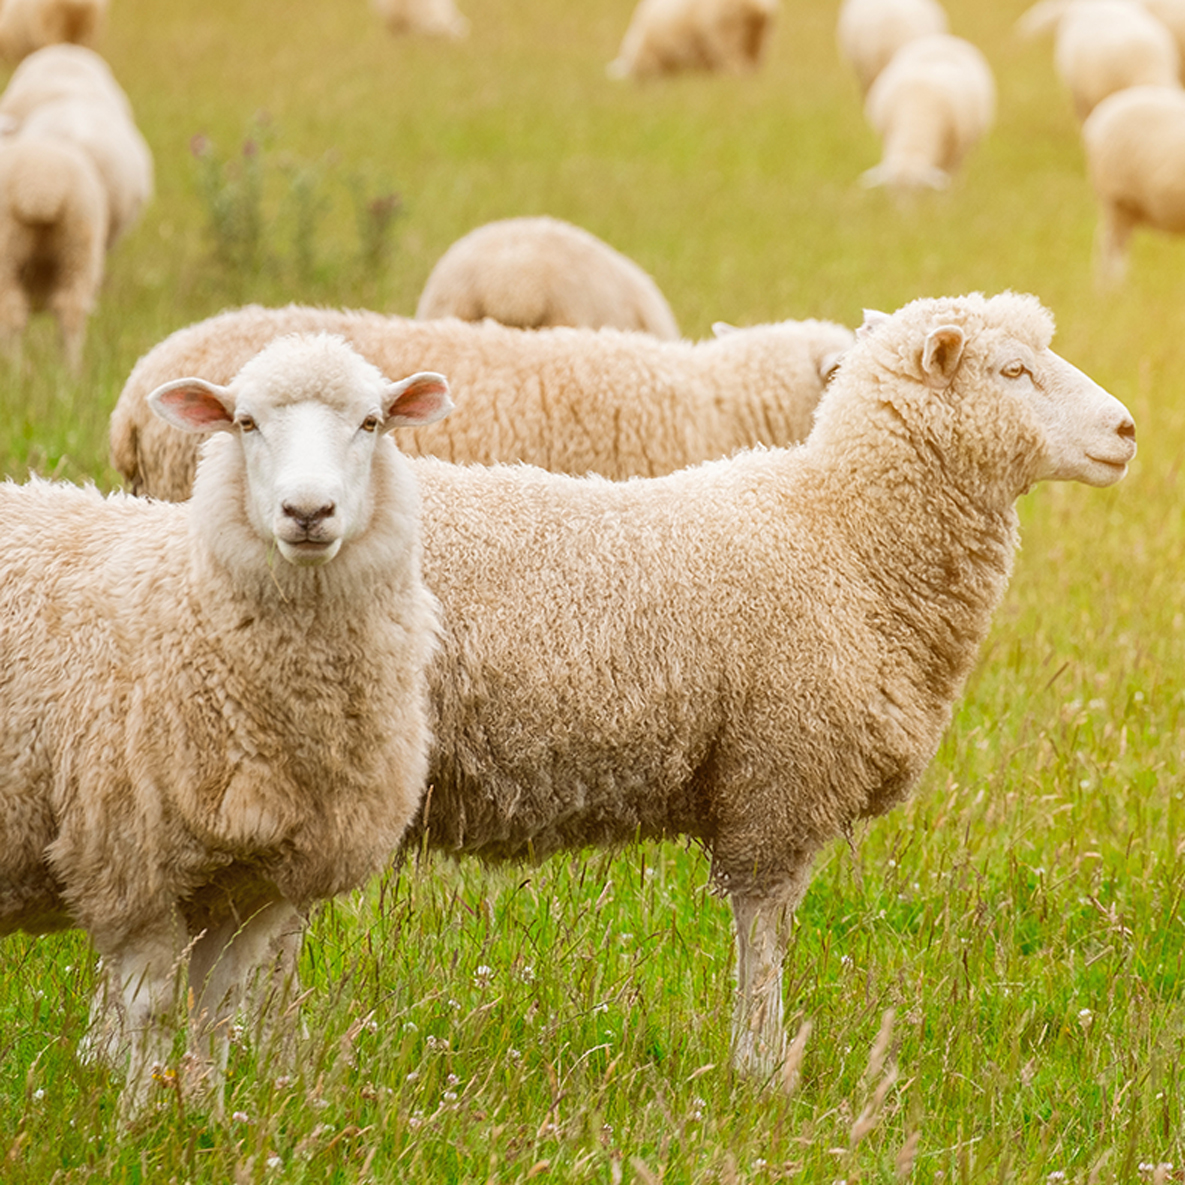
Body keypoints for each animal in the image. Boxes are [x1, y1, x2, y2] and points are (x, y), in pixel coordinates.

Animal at [0, 333, 453, 1114]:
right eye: (245, 423)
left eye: (371, 422)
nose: (308, 511)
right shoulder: (131, 863)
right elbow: (151, 1013)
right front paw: (140, 1120)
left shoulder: (252, 883)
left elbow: (219, 1010)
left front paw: (209, 1116)